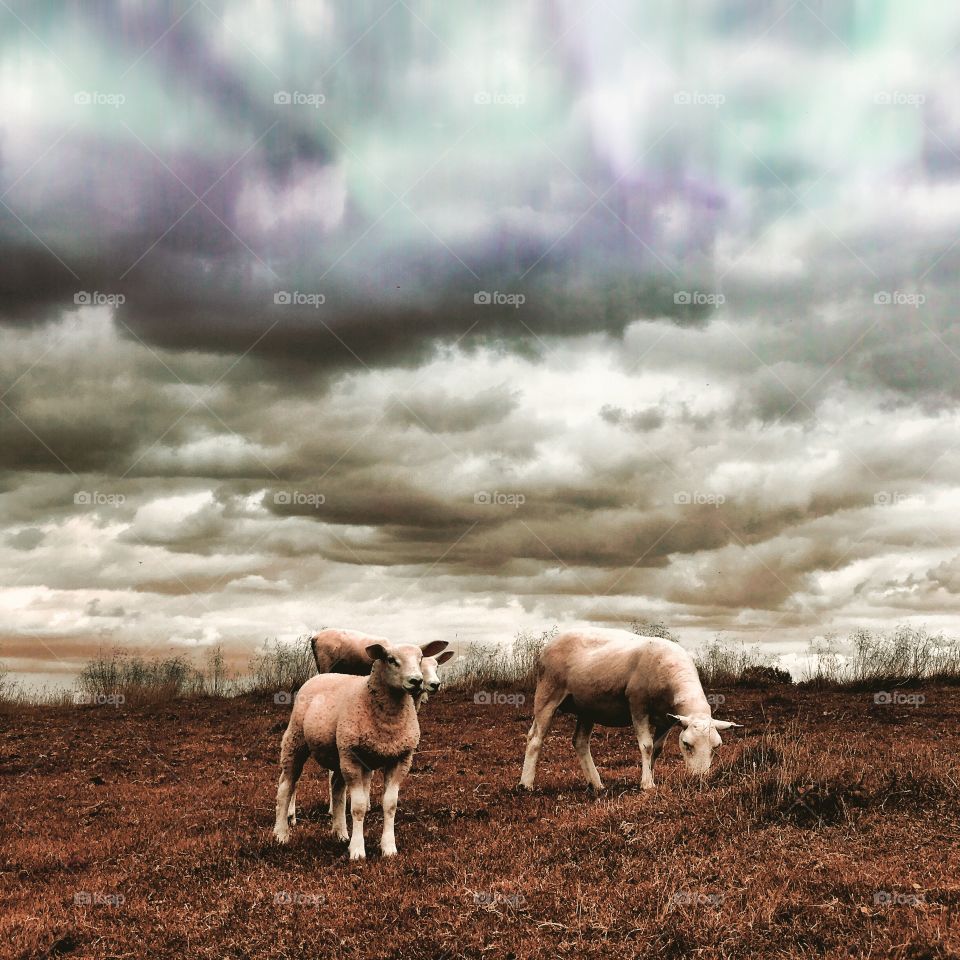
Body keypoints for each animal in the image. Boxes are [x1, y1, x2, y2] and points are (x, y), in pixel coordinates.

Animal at [272, 640, 448, 860]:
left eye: (420, 658)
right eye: (390, 659)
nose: (417, 681)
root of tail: (320, 676)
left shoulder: (399, 758)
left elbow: (390, 805)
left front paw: (388, 847)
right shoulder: (355, 758)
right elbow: (358, 806)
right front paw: (357, 850)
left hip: (339, 751)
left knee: (337, 788)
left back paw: (340, 833)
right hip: (298, 740)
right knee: (286, 785)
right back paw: (281, 833)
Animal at [520, 628, 740, 792]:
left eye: (717, 747)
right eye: (686, 744)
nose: (699, 780)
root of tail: (547, 646)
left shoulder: (667, 720)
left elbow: (657, 749)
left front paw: (650, 776)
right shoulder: (638, 706)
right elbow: (647, 746)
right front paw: (647, 784)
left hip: (587, 706)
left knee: (580, 742)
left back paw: (596, 784)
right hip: (548, 692)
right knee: (535, 738)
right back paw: (526, 784)